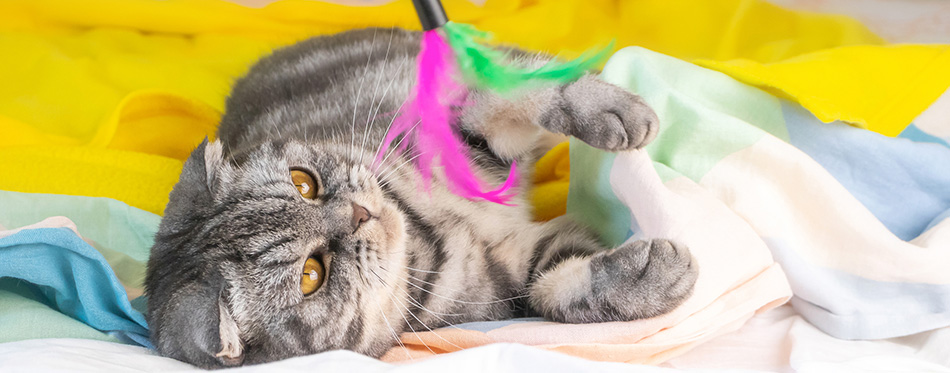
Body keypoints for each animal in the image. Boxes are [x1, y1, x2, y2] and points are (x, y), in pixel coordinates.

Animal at [149, 27, 700, 368]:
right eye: (310, 274)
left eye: (304, 182)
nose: (359, 212)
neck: (422, 223)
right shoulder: (504, 281)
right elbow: (558, 293)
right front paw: (653, 276)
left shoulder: (461, 125)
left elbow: (526, 98)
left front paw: (611, 109)